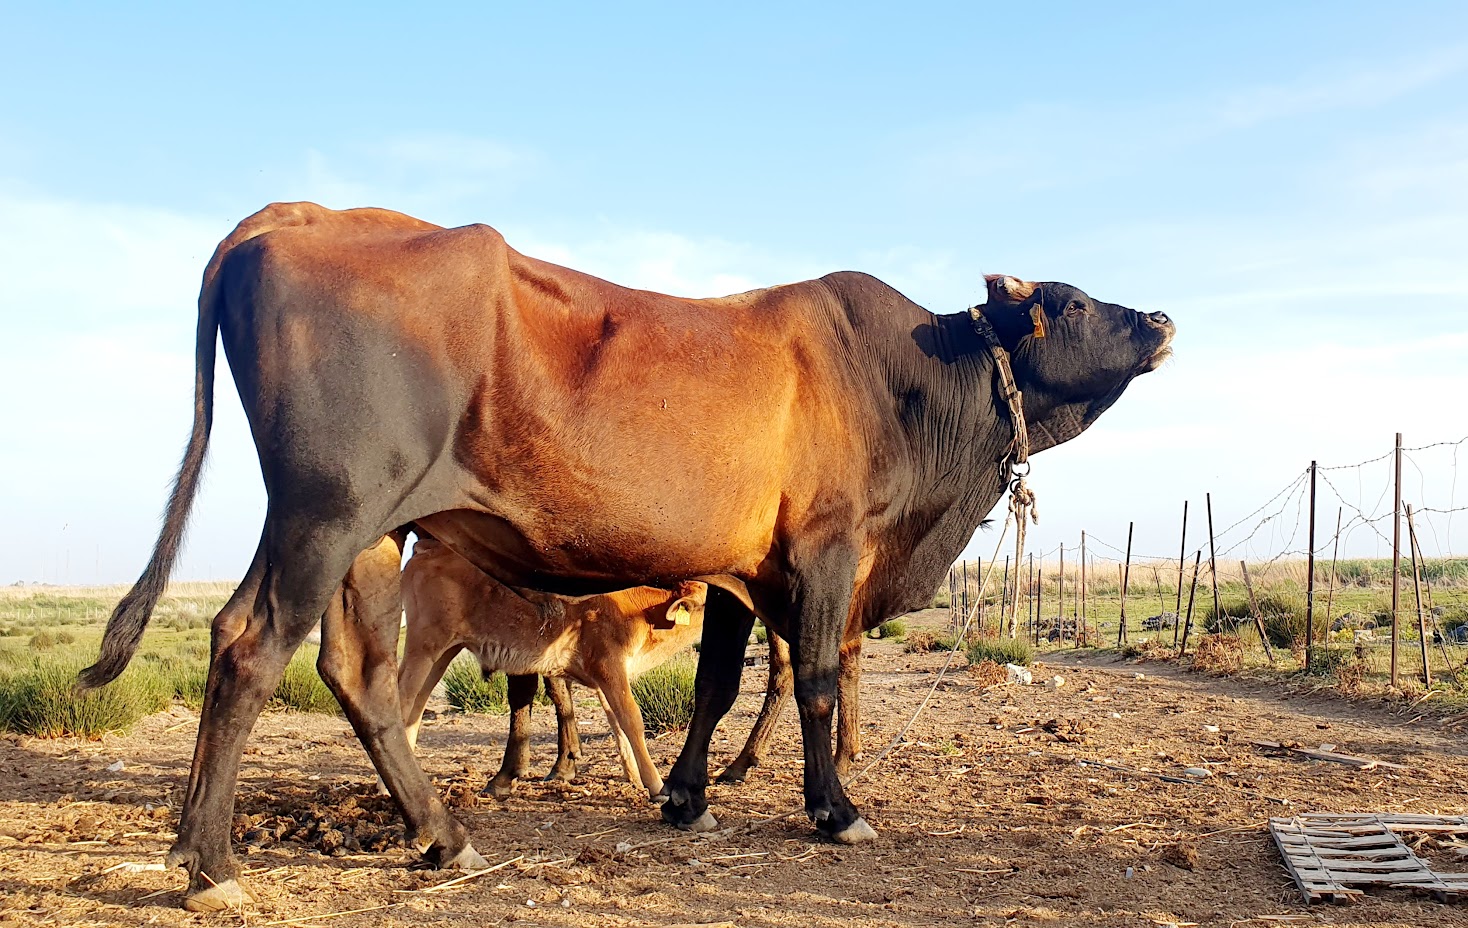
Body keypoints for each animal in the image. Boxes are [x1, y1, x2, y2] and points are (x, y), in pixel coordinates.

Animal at [79, 201, 1173, 911]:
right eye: (1076, 303)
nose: (1161, 318)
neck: (908, 384)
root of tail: (292, 215)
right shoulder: (825, 547)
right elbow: (816, 680)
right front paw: (834, 809)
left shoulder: (739, 568)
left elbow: (717, 684)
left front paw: (687, 797)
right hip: (324, 510)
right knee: (248, 644)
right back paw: (211, 865)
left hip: (372, 532)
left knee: (357, 670)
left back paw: (441, 837)